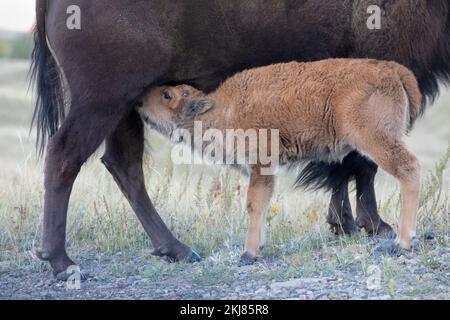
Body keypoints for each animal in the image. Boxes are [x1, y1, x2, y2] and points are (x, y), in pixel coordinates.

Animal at [138, 58, 422, 264]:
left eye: (167, 95)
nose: (139, 100)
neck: (222, 109)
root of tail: (393, 70)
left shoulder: (261, 165)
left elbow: (255, 203)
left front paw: (249, 253)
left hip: (376, 140)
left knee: (409, 169)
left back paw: (401, 243)